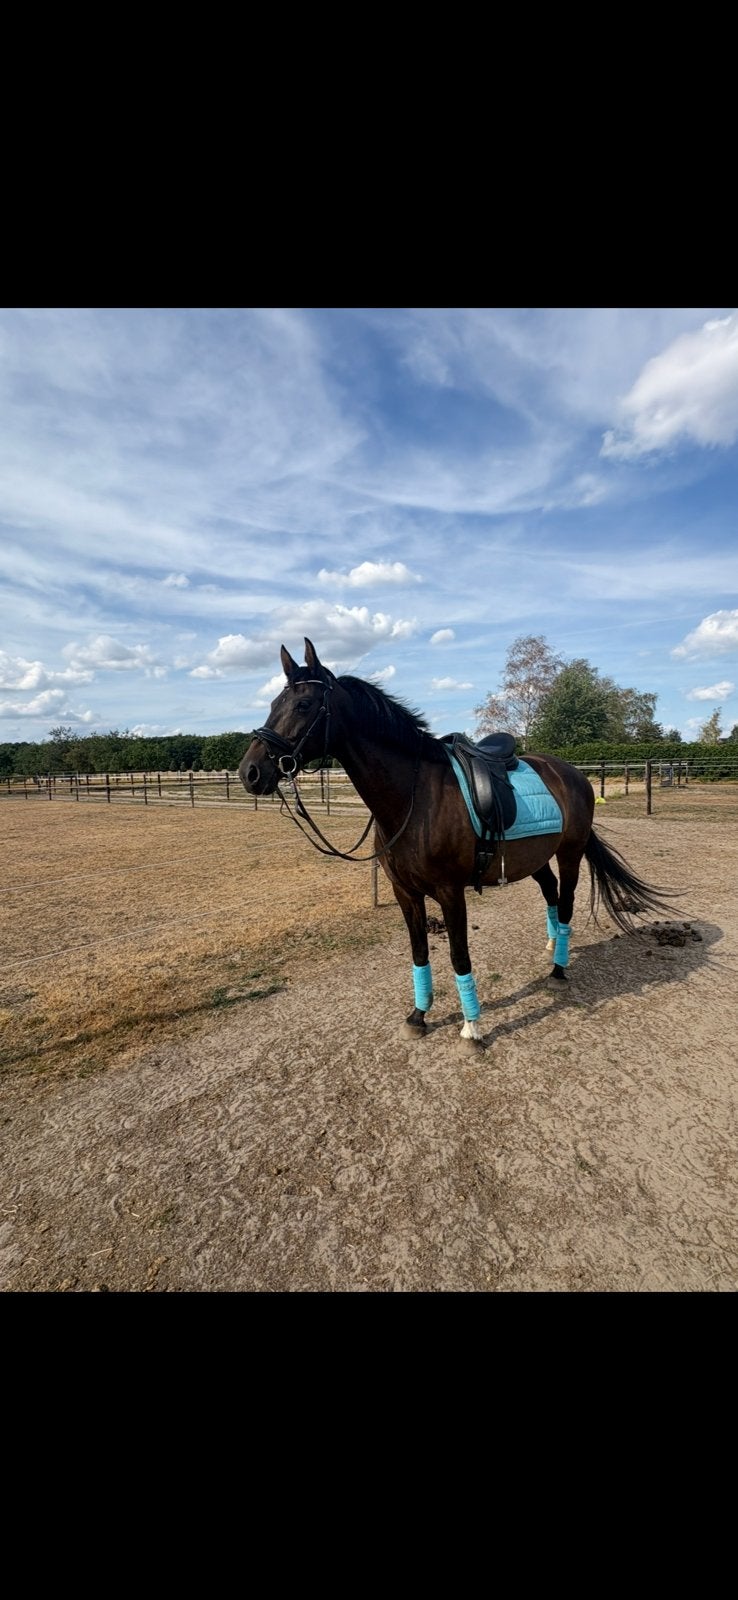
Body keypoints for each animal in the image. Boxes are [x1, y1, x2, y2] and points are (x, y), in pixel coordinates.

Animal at [239, 639, 677, 1047]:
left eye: (303, 704)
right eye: (274, 702)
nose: (250, 772)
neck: (415, 798)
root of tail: (572, 774)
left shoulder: (451, 893)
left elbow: (458, 954)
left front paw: (472, 1027)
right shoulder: (405, 893)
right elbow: (419, 952)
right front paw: (418, 1016)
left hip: (569, 854)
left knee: (566, 902)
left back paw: (558, 968)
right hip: (536, 859)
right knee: (551, 894)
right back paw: (551, 946)